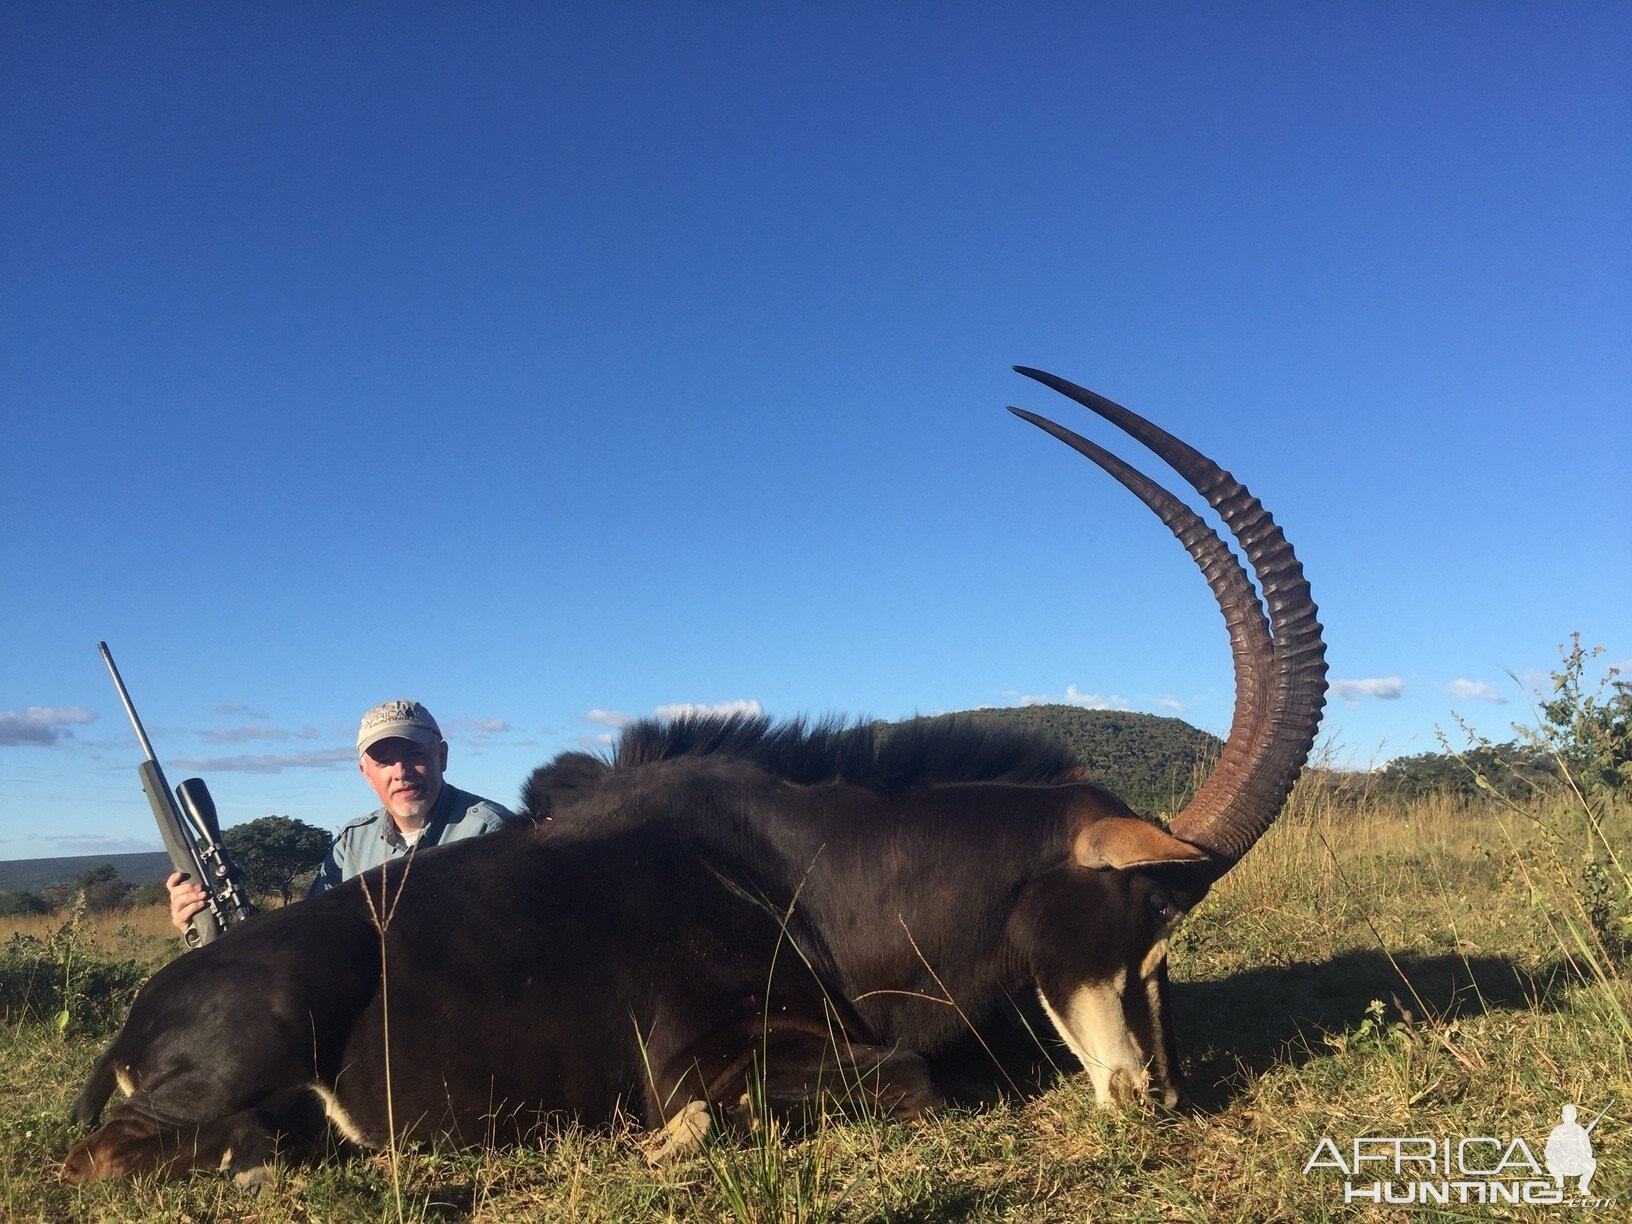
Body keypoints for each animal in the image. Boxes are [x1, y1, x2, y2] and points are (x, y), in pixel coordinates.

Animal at [70, 368, 1331, 1181]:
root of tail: (138, 1024)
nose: (1157, 1099)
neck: (812, 876)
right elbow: (902, 1082)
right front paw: (675, 1136)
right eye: (1153, 922)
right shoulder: (708, 1054)